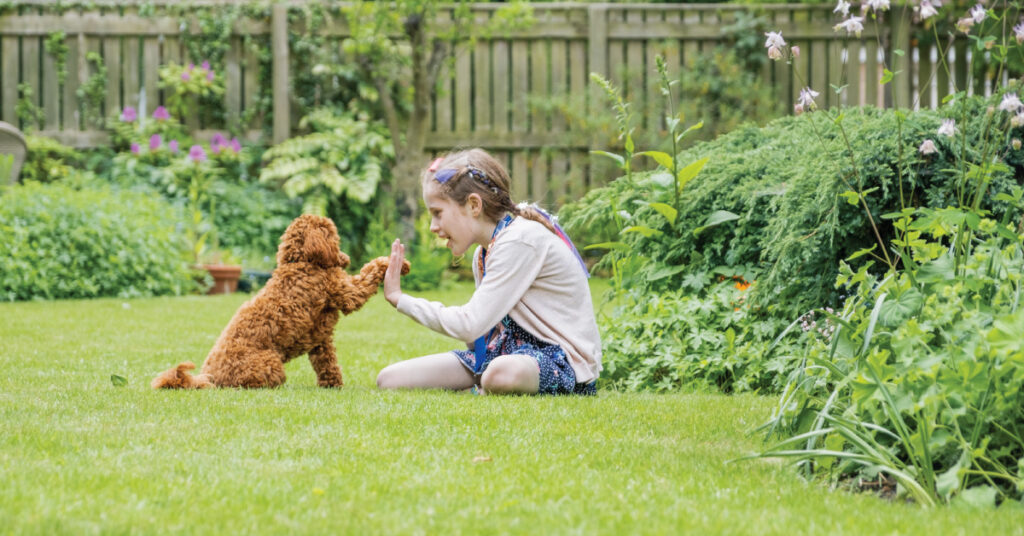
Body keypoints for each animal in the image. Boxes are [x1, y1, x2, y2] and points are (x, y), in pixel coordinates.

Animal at [151, 215, 407, 389]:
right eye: (334, 238)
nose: (346, 258)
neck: (302, 263)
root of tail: (208, 376)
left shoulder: (320, 338)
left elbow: (327, 363)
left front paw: (333, 385)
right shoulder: (345, 291)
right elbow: (370, 272)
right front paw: (396, 263)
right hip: (270, 362)